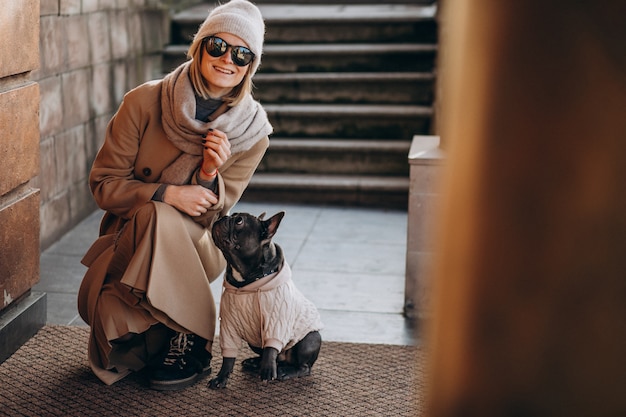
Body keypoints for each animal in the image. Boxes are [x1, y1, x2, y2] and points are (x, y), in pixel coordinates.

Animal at [208, 211, 322, 386]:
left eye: (239, 221)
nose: (223, 217)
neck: (245, 282)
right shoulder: (228, 325)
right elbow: (228, 357)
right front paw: (221, 377)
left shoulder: (276, 321)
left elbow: (270, 348)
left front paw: (268, 370)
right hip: (254, 342)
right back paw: (255, 362)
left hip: (310, 339)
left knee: (303, 367)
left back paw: (285, 371)